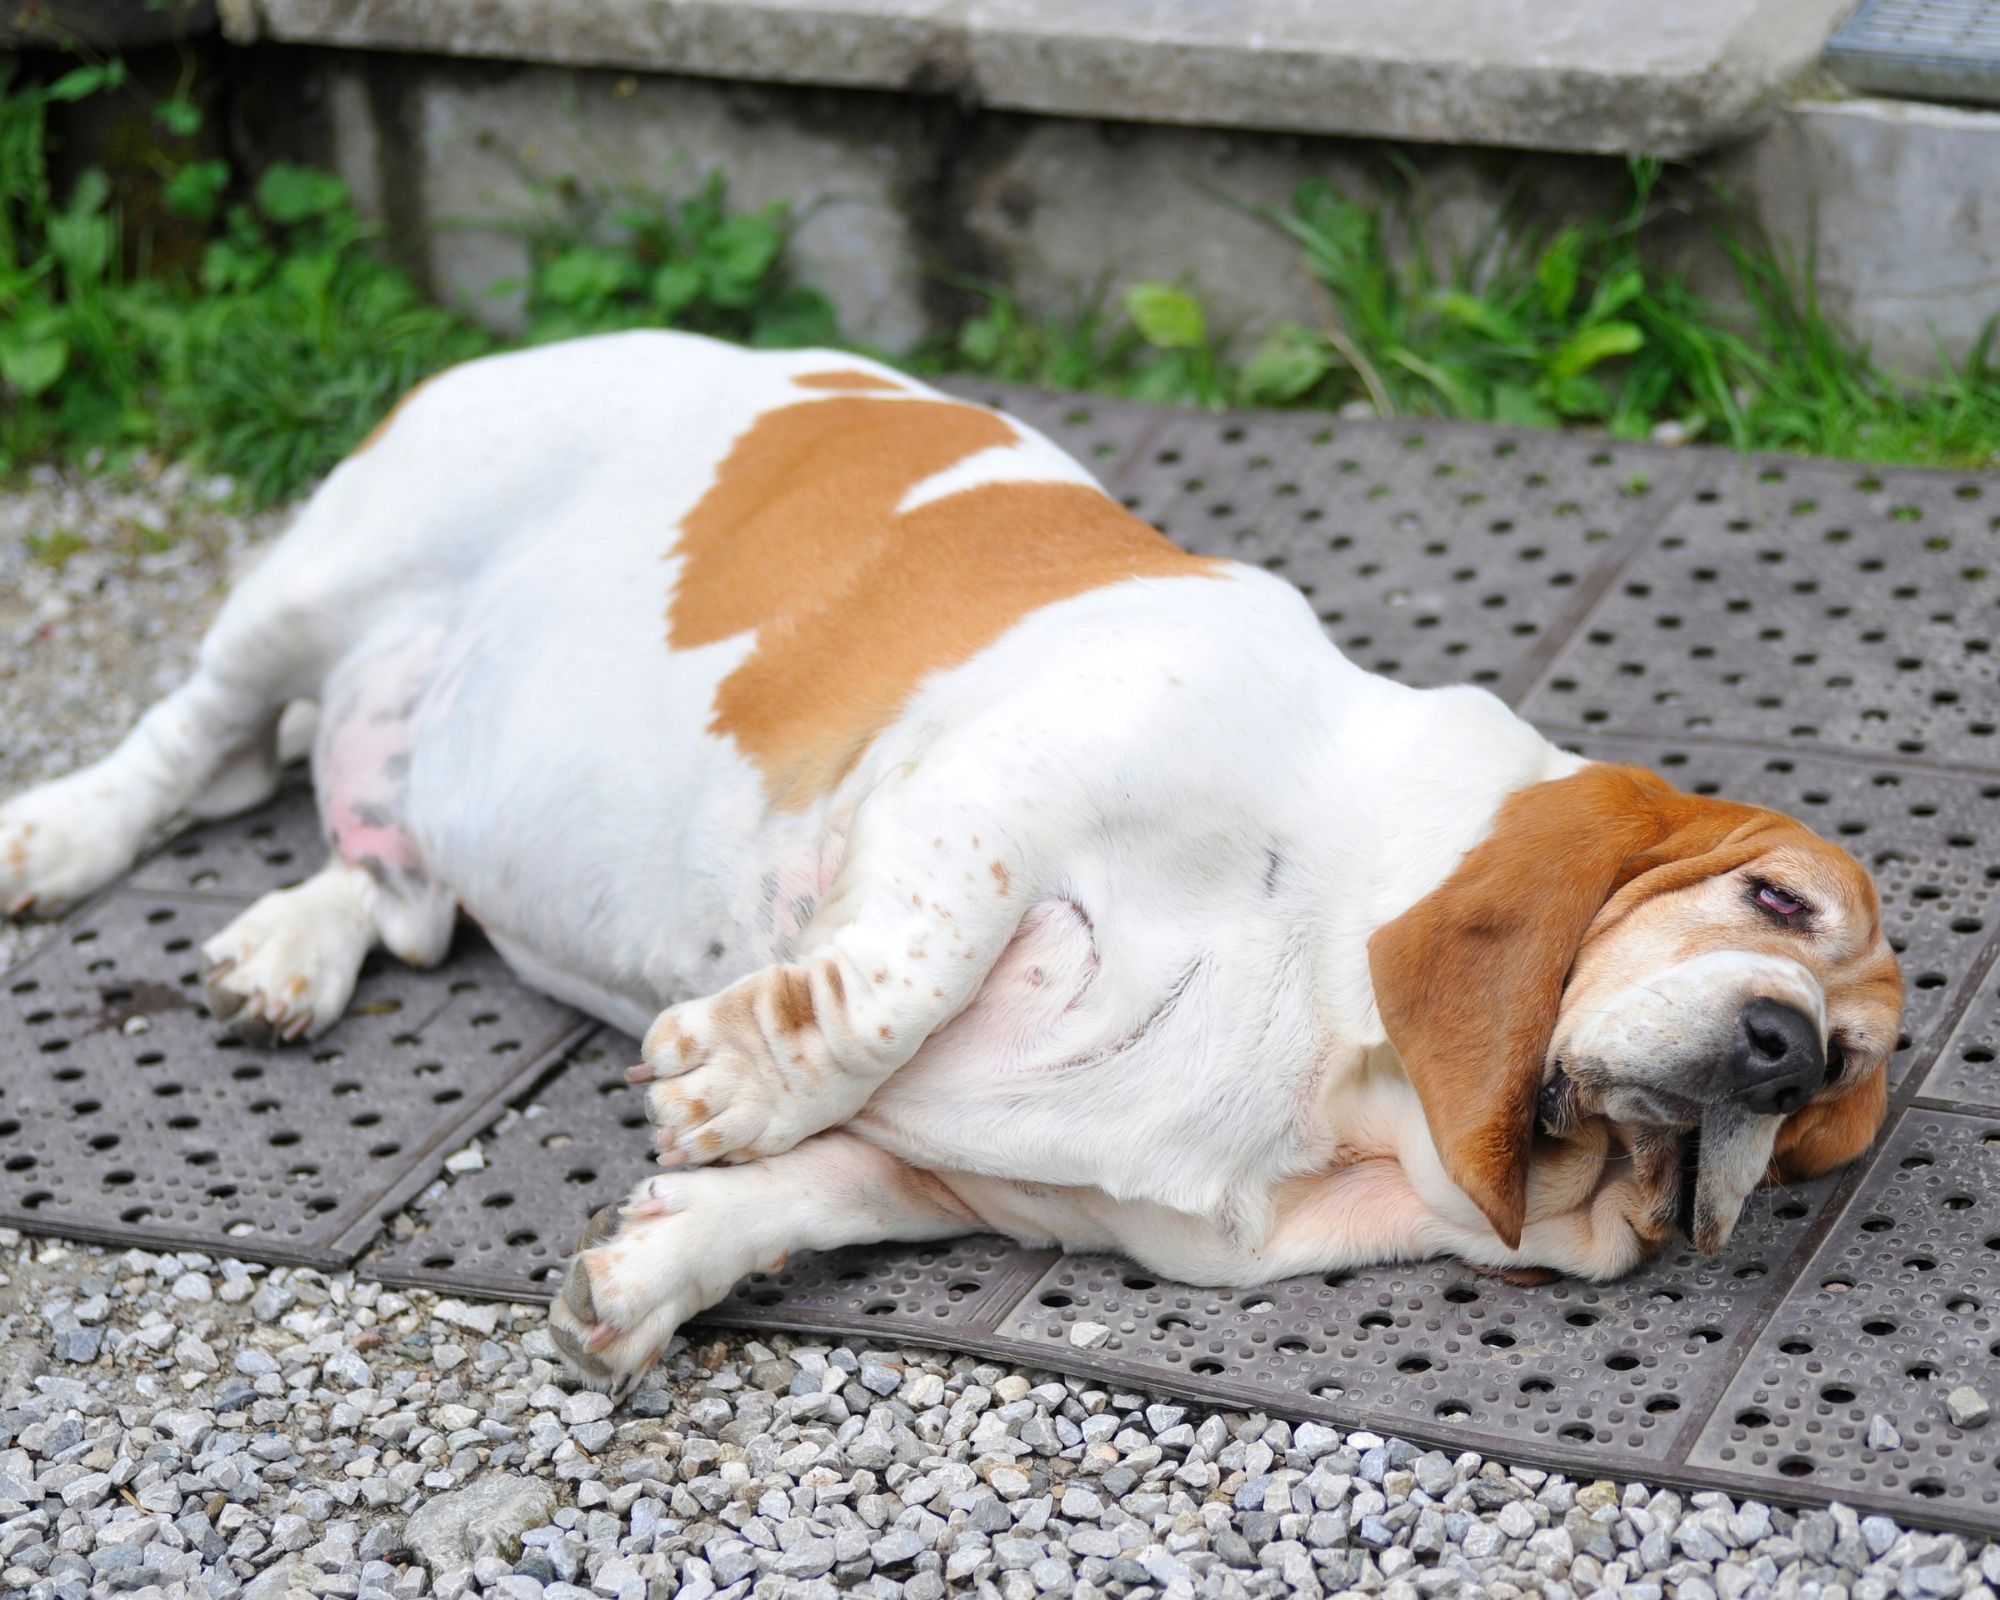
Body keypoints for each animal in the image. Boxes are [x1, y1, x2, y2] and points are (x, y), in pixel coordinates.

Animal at [3, 332, 1904, 1392]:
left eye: (1838, 1089)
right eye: (1773, 902)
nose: (1781, 1045)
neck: (1332, 1053)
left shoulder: (980, 1185)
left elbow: (813, 1192)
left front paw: (648, 1278)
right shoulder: (992, 794)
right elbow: (888, 989)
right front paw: (728, 1078)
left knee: (384, 875)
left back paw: (291, 953)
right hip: (317, 582)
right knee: (192, 741)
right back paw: (59, 835)